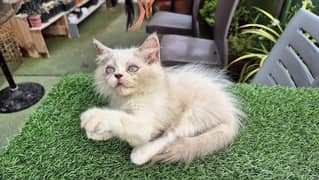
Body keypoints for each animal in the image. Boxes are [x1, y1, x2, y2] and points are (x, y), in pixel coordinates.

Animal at [80, 33, 242, 165]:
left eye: (132, 69)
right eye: (109, 69)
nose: (117, 75)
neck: (128, 98)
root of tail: (230, 115)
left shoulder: (145, 123)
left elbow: (122, 119)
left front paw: (94, 117)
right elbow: (120, 118)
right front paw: (99, 132)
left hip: (195, 111)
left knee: (174, 133)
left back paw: (140, 154)